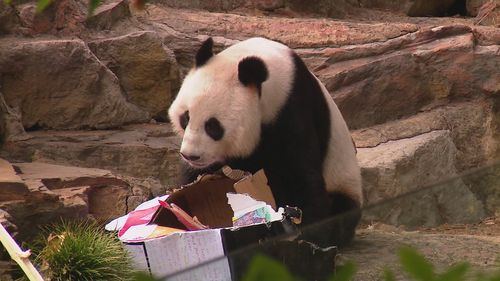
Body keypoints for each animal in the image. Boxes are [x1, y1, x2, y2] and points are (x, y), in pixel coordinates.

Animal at [168, 36, 364, 245]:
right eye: (185, 117)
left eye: (213, 126)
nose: (190, 155)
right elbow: (195, 177)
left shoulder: (291, 109)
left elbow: (297, 172)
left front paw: (304, 230)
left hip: (344, 181)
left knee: (341, 207)